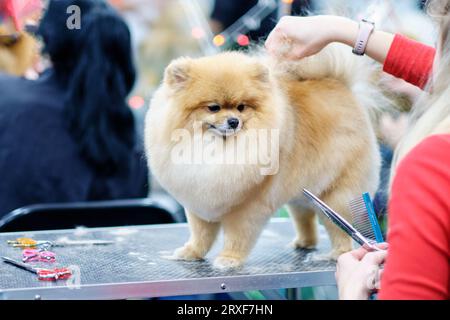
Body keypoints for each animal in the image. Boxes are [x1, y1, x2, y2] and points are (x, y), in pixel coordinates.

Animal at [146, 44, 382, 270]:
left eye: (241, 107)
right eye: (213, 107)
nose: (234, 121)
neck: (218, 149)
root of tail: (340, 84)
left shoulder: (247, 208)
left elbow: (237, 237)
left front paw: (229, 259)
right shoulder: (198, 200)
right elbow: (200, 234)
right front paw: (191, 253)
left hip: (336, 194)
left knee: (339, 227)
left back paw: (338, 253)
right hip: (301, 193)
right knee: (304, 216)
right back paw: (304, 243)